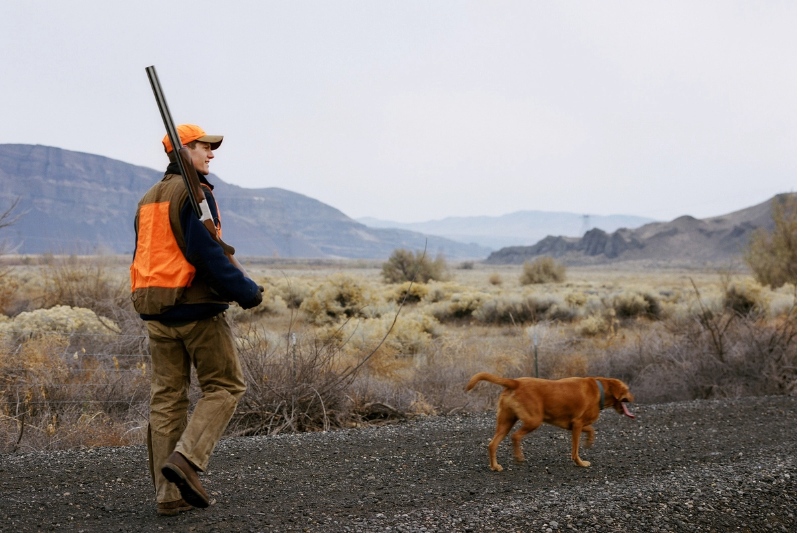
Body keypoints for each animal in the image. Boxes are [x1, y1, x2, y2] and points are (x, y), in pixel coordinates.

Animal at [466, 372, 636, 468]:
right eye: (627, 389)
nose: (633, 398)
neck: (600, 389)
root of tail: (516, 382)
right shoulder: (577, 424)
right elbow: (575, 450)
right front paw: (580, 463)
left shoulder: (575, 424)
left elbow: (591, 430)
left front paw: (589, 442)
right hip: (533, 420)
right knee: (515, 436)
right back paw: (518, 457)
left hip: (506, 422)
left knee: (492, 444)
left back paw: (495, 466)